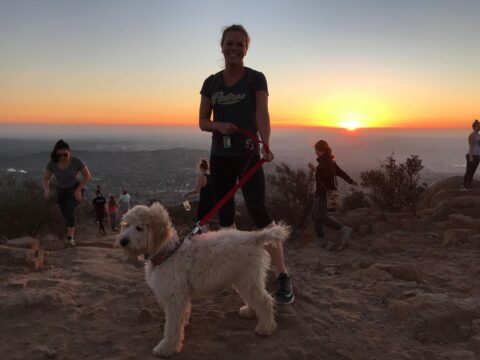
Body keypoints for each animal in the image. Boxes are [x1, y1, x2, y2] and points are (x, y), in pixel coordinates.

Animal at [114, 202, 290, 358]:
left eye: (139, 228)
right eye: (126, 225)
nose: (123, 241)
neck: (168, 252)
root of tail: (253, 237)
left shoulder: (174, 297)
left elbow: (171, 326)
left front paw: (167, 348)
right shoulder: (180, 295)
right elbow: (181, 315)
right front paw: (183, 324)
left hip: (248, 278)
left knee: (265, 301)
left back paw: (265, 328)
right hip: (243, 278)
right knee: (254, 297)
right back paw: (249, 310)